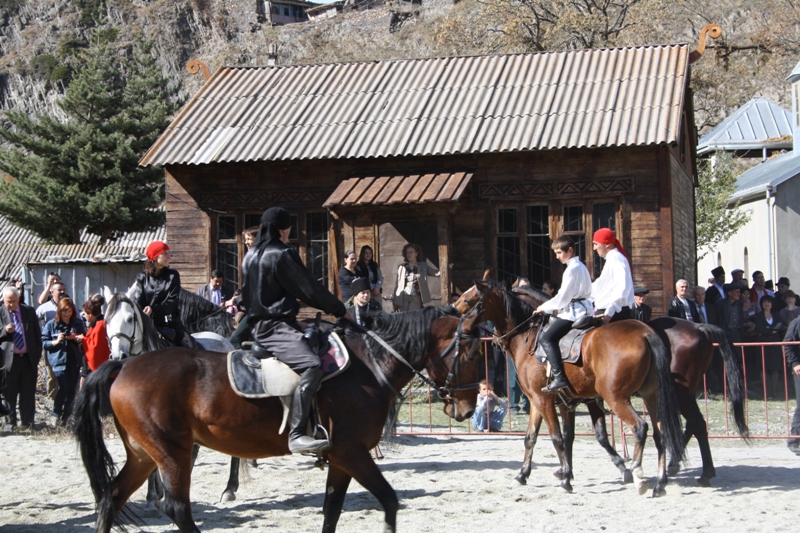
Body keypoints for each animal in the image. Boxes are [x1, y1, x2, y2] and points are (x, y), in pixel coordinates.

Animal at [74, 306, 483, 532]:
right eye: (471, 353)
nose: (466, 409)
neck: (369, 366)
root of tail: (125, 365)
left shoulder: (340, 459)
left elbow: (331, 513)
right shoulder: (352, 453)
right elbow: (388, 500)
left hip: (144, 454)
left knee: (110, 499)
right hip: (172, 453)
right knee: (176, 509)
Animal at [454, 280, 685, 496]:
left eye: (468, 300)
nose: (456, 321)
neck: (529, 337)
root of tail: (646, 334)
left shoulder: (545, 400)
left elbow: (557, 438)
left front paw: (566, 477)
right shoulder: (545, 402)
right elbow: (536, 437)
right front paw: (524, 474)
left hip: (616, 398)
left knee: (640, 427)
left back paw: (639, 475)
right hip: (650, 396)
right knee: (660, 433)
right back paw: (660, 483)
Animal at [510, 286, 749, 487]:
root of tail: (698, 327)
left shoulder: (556, 399)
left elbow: (571, 436)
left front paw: (567, 472)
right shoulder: (565, 400)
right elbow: (564, 436)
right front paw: (555, 471)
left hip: (675, 393)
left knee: (691, 424)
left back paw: (685, 469)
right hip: (678, 393)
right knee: (691, 424)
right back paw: (680, 467)